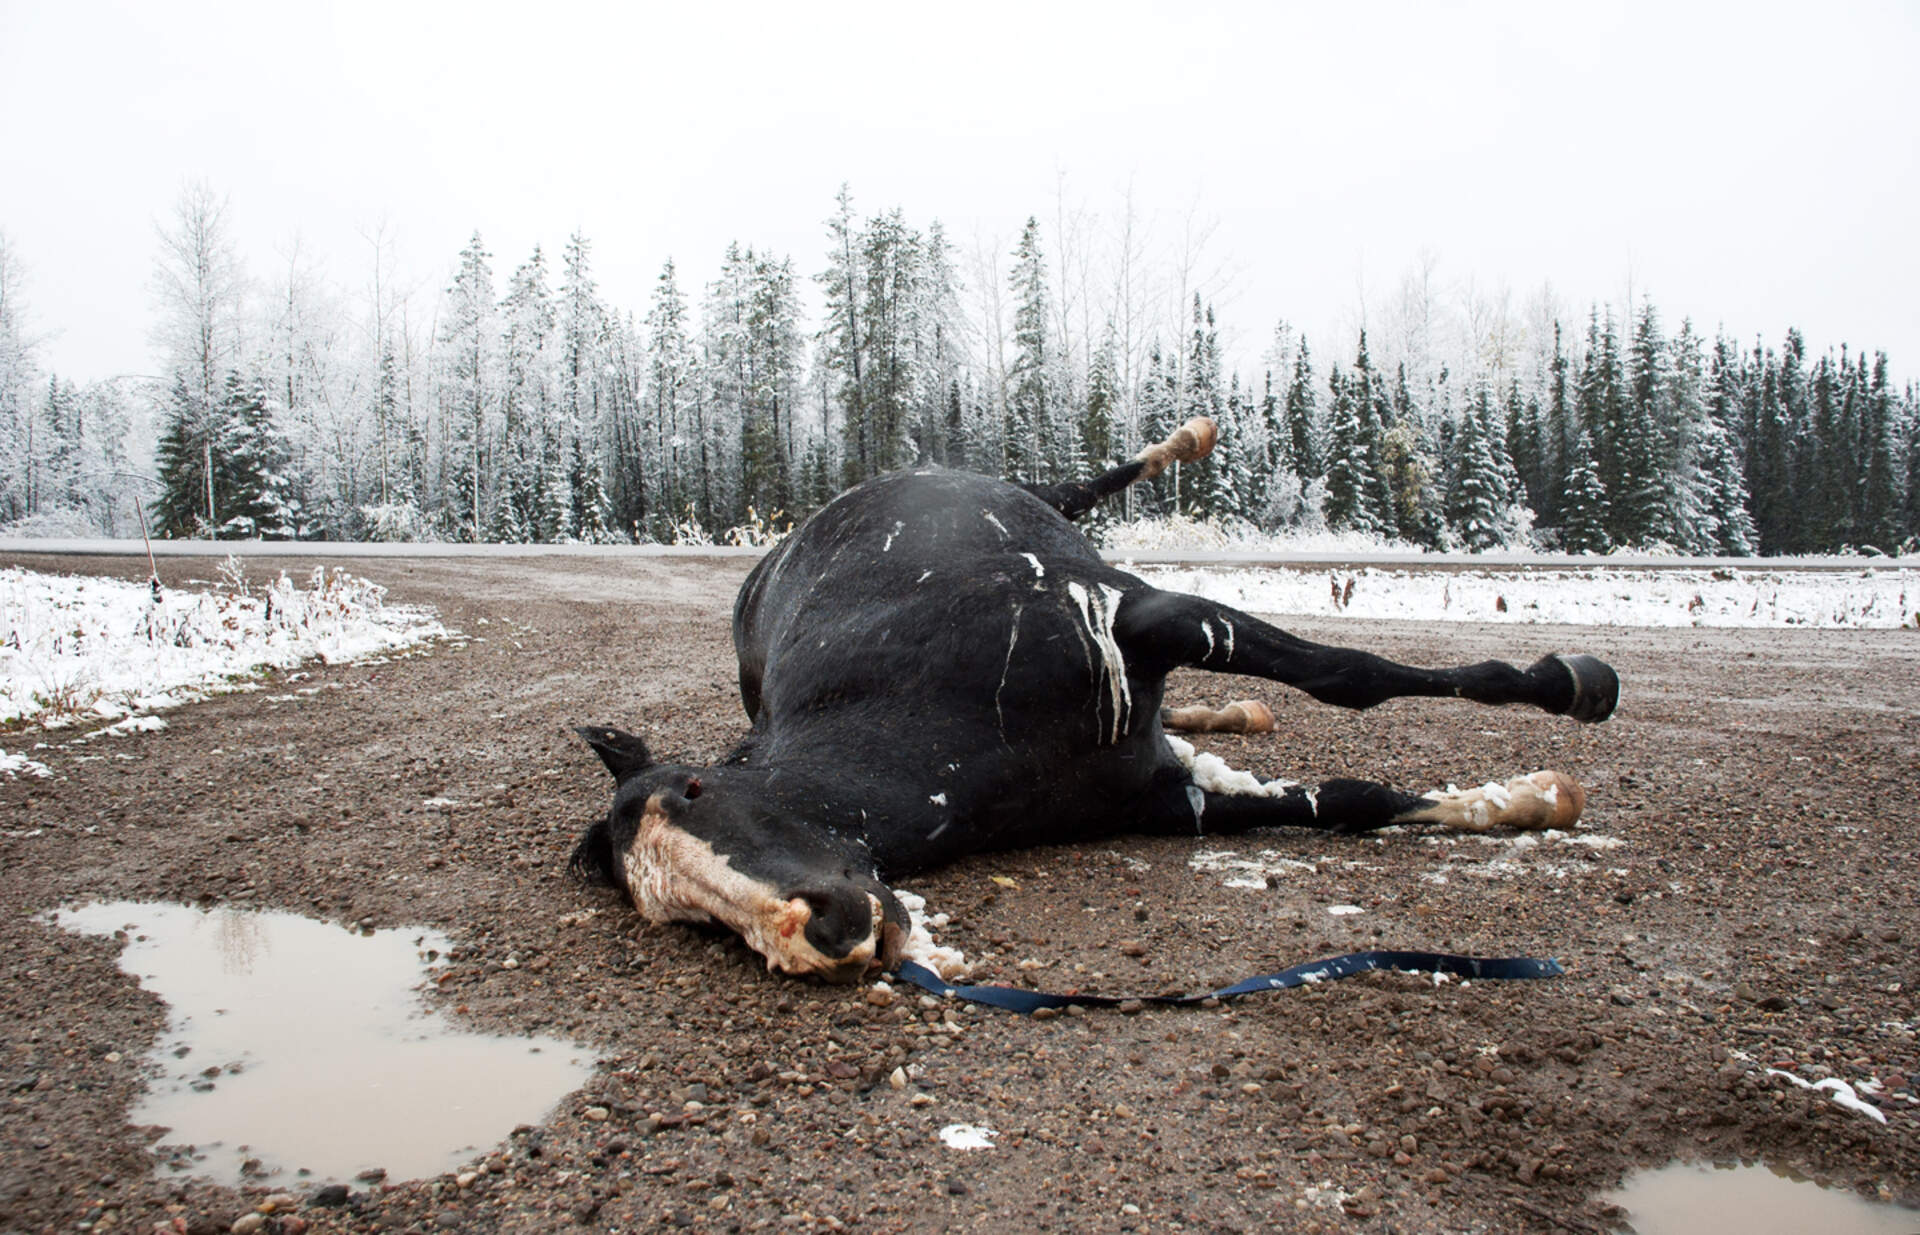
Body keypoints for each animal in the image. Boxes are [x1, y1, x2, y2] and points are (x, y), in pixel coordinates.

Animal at [572, 422, 1620, 983]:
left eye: (698, 790)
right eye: (679, 914)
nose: (825, 933)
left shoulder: (1148, 615)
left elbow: (1350, 675)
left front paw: (1567, 690)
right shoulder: (1165, 798)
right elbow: (1354, 800)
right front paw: (1528, 798)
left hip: (1054, 514)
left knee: (1083, 482)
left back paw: (1183, 439)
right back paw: (1231, 715)